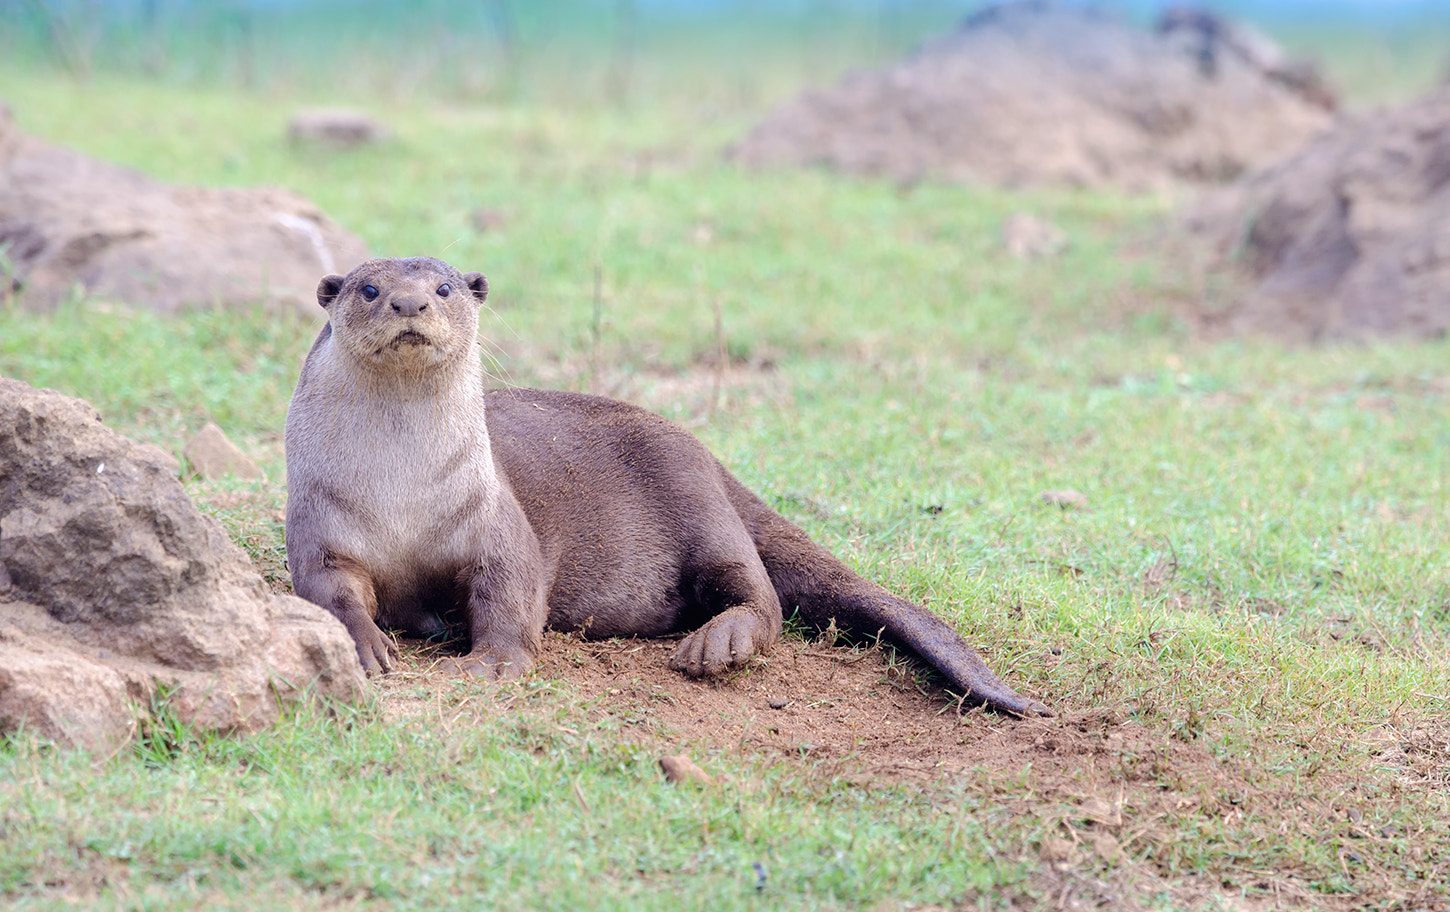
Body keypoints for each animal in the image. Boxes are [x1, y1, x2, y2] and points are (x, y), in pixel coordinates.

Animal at [282, 252, 1049, 716]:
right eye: (369, 288)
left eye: (441, 287)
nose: (410, 304)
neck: (403, 493)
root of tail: (708, 456)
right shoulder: (318, 524)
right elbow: (328, 590)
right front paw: (362, 643)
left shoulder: (498, 521)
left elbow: (510, 590)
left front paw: (491, 664)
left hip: (700, 508)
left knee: (762, 597)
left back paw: (719, 644)